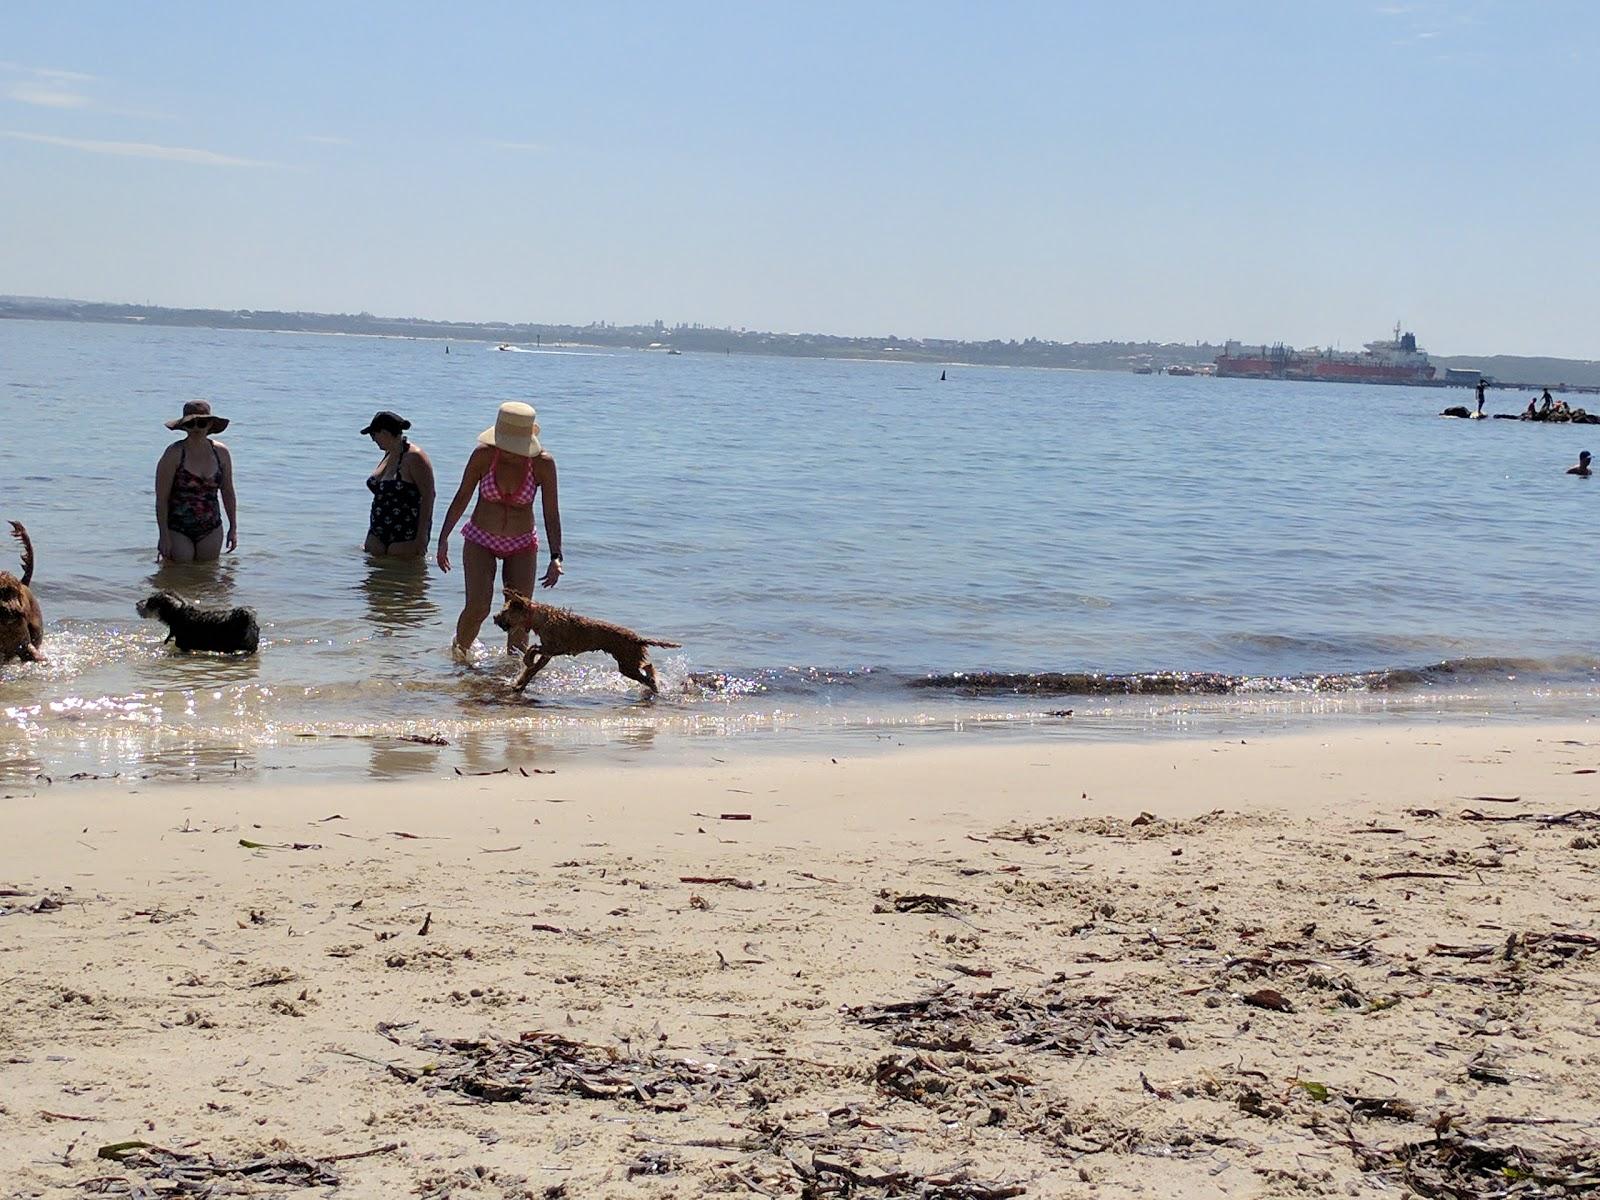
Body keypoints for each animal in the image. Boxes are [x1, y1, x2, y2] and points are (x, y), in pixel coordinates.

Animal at [492, 592, 681, 694]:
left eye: (505, 611)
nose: (494, 617)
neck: (540, 618)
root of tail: (637, 638)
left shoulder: (554, 647)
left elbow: (533, 650)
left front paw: (527, 661)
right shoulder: (548, 653)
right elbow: (531, 670)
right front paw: (519, 684)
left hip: (627, 663)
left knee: (646, 673)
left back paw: (654, 686)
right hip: (629, 662)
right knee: (648, 666)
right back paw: (654, 683)